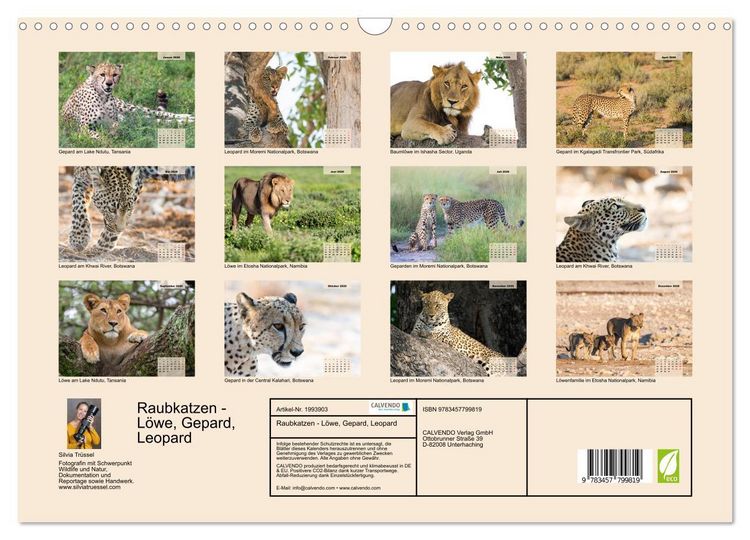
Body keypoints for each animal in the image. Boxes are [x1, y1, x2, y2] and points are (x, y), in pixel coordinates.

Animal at [61, 62, 195, 139]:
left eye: (115, 74)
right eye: (102, 74)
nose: (109, 83)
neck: (103, 96)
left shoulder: (113, 121)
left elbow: (113, 128)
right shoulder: (82, 128)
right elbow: (99, 134)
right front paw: (108, 139)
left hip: (132, 109)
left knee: (162, 114)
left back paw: (188, 117)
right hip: (134, 118)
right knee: (155, 121)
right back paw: (185, 121)